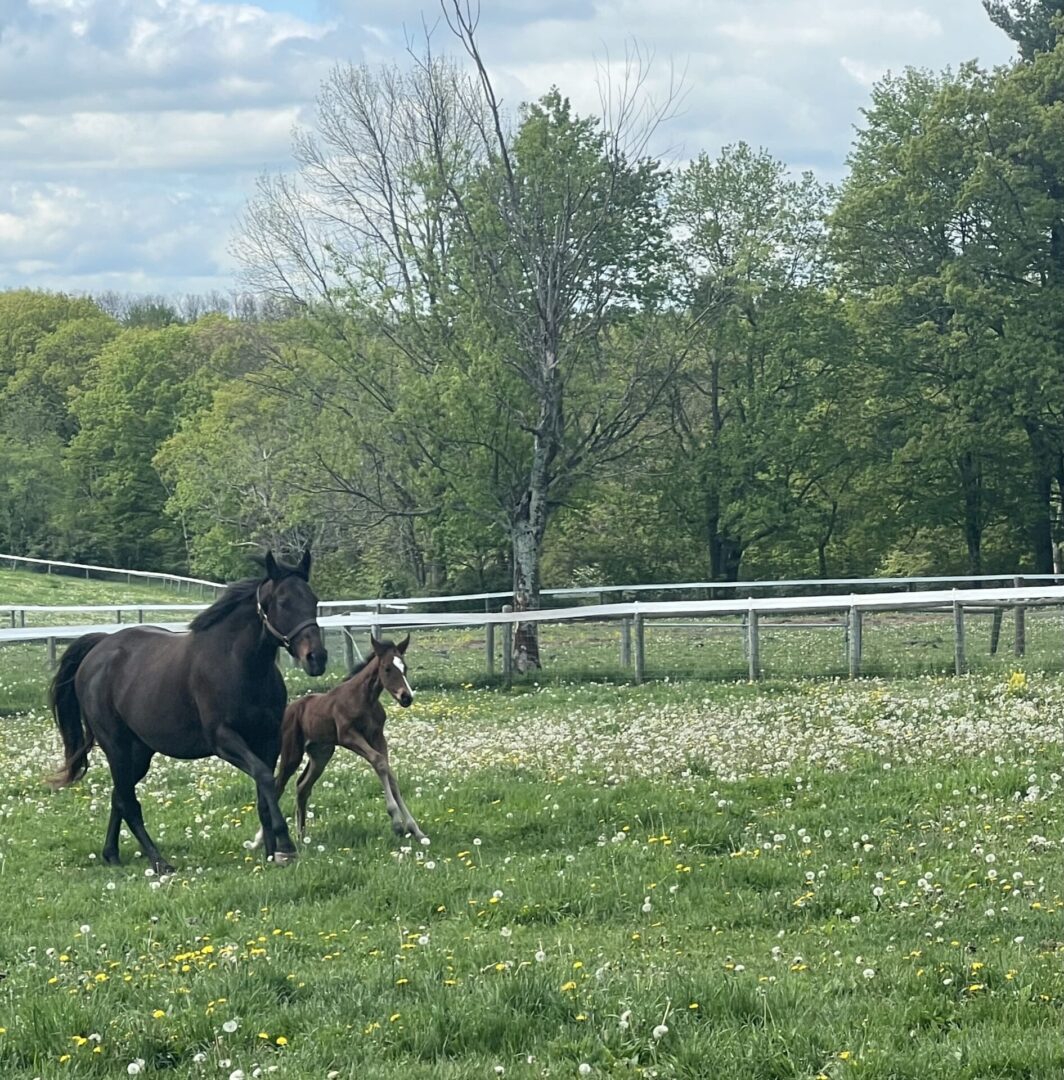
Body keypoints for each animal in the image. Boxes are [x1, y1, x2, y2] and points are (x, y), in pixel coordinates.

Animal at [46, 552, 328, 872]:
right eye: (282, 602)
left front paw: (270, 852)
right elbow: (265, 778)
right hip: (116, 747)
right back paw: (159, 862)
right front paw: (285, 846)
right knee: (128, 802)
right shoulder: (224, 740)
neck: (239, 665)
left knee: (119, 796)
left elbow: (263, 790)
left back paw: (112, 855)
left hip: (139, 752)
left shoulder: (268, 741)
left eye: (313, 599)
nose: (316, 658)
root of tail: (98, 649)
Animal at [257, 630, 423, 842]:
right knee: (279, 785)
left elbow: (388, 771)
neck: (365, 699)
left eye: (405, 667)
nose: (406, 697)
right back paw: (260, 839)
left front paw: (414, 828)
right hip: (292, 753)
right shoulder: (348, 736)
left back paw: (302, 837)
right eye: (386, 669)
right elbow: (379, 762)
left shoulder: (377, 736)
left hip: (321, 754)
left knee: (302, 786)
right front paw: (396, 821)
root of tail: (289, 709)